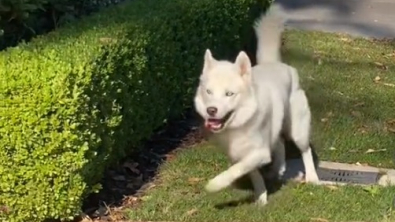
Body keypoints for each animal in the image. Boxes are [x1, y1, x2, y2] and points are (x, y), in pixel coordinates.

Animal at [195, 4, 322, 205]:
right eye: (208, 92)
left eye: (229, 94)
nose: (211, 110)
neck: (238, 126)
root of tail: (275, 63)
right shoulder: (240, 154)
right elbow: (252, 173)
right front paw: (261, 196)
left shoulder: (259, 152)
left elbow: (237, 169)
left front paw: (216, 184)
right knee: (279, 144)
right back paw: (277, 169)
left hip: (297, 130)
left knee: (305, 150)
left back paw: (312, 177)